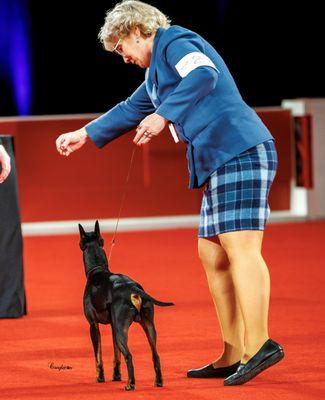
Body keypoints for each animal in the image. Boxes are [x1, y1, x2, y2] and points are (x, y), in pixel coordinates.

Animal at [79, 220, 173, 390]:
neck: (97, 270)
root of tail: (133, 288)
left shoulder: (93, 325)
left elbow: (98, 356)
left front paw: (100, 377)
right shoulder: (112, 326)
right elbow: (116, 355)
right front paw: (116, 376)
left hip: (121, 329)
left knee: (129, 355)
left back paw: (130, 384)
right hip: (147, 325)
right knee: (155, 355)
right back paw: (158, 381)